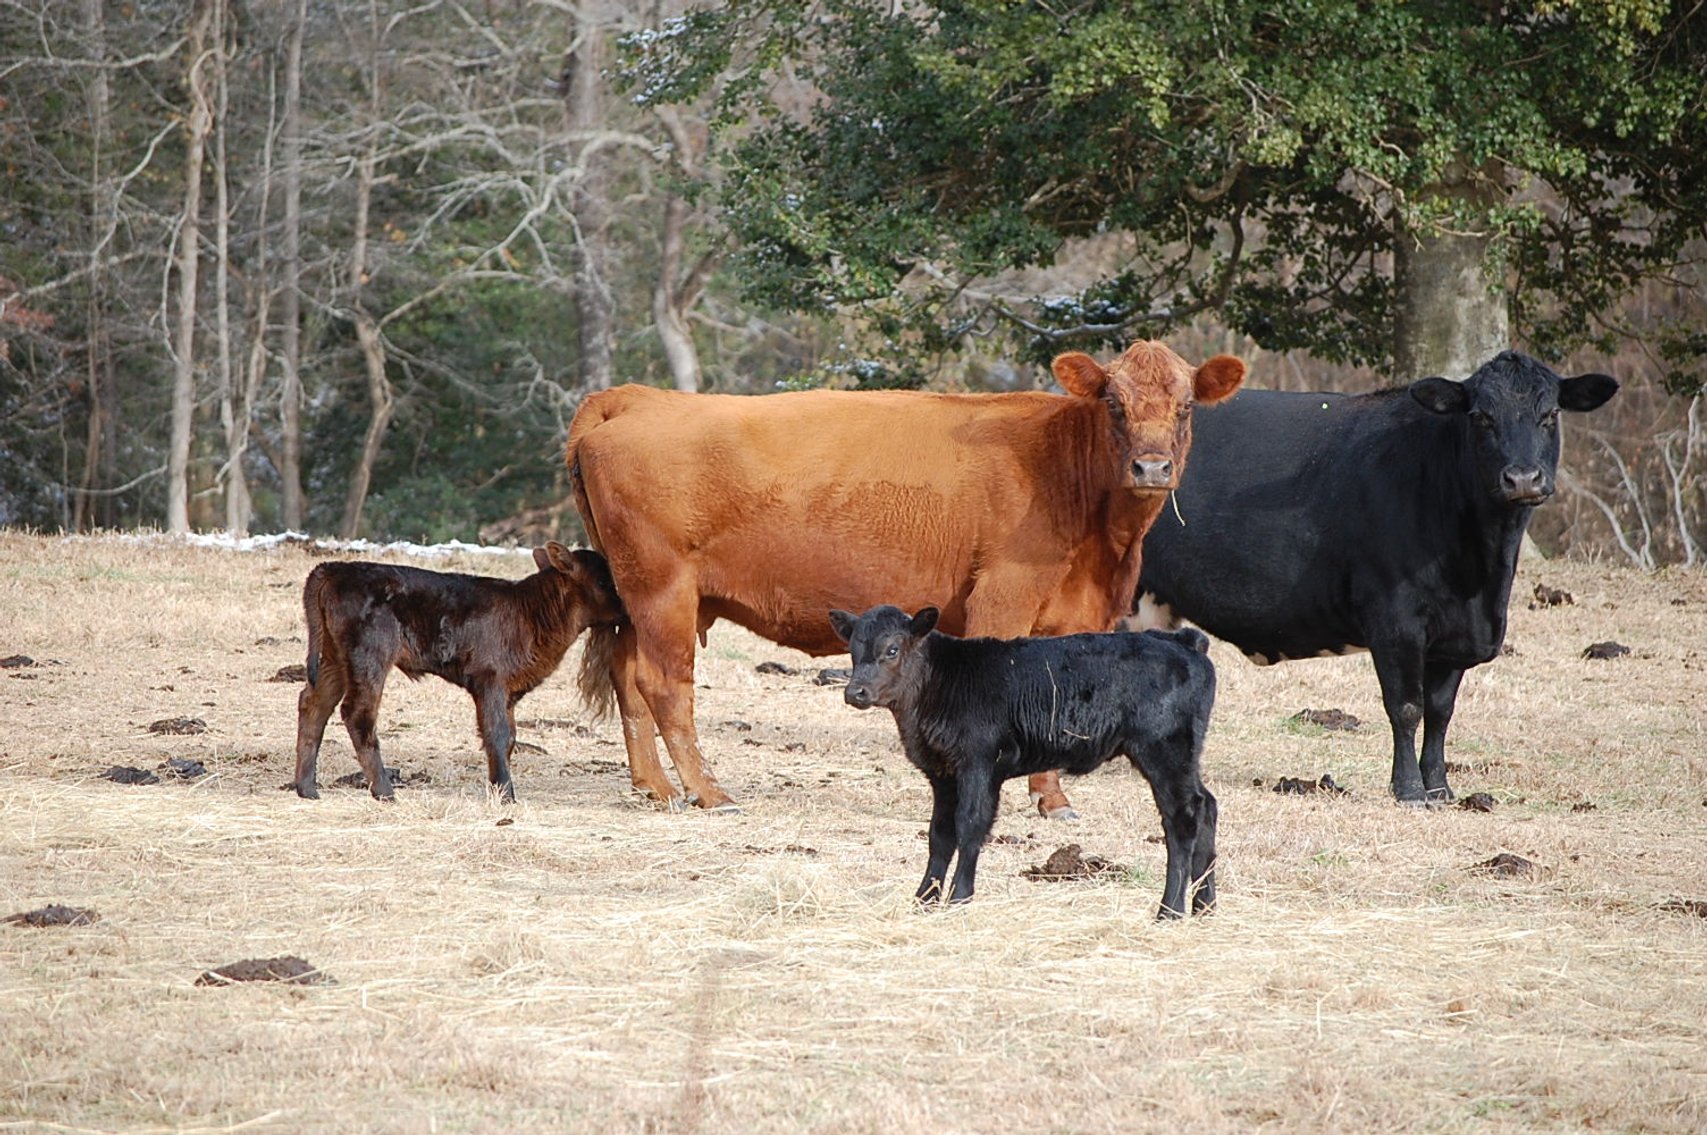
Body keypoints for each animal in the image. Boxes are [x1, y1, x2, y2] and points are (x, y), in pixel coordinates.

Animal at [292, 543, 624, 802]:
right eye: (603, 582)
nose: (626, 610)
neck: (529, 611)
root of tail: (335, 568)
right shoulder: (490, 680)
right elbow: (497, 733)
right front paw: (506, 794)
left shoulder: (508, 691)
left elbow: (510, 738)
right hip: (369, 656)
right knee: (357, 713)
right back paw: (384, 791)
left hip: (335, 658)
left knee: (314, 703)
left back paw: (307, 788)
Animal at [566, 341, 1246, 814]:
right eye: (1113, 402)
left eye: (1186, 406)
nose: (1151, 467)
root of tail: (639, 396)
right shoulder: (1003, 597)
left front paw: (1052, 800)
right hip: (663, 590)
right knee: (663, 685)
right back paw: (710, 792)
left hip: (639, 595)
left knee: (627, 675)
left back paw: (656, 788)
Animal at [830, 606, 1218, 917]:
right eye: (852, 651)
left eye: (892, 649)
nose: (855, 692)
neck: (942, 682)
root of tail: (1184, 641)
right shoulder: (942, 773)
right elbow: (939, 835)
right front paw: (923, 901)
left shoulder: (979, 763)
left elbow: (970, 827)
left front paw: (959, 898)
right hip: (1185, 754)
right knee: (1207, 806)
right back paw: (1204, 906)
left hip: (1164, 749)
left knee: (1183, 817)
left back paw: (1170, 910)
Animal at [1134, 350, 1618, 804]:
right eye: (1481, 417)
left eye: (1550, 414)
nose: (1522, 478)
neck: (1480, 578)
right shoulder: (1394, 619)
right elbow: (1406, 706)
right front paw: (1409, 790)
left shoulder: (1456, 636)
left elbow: (1440, 711)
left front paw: (1439, 787)